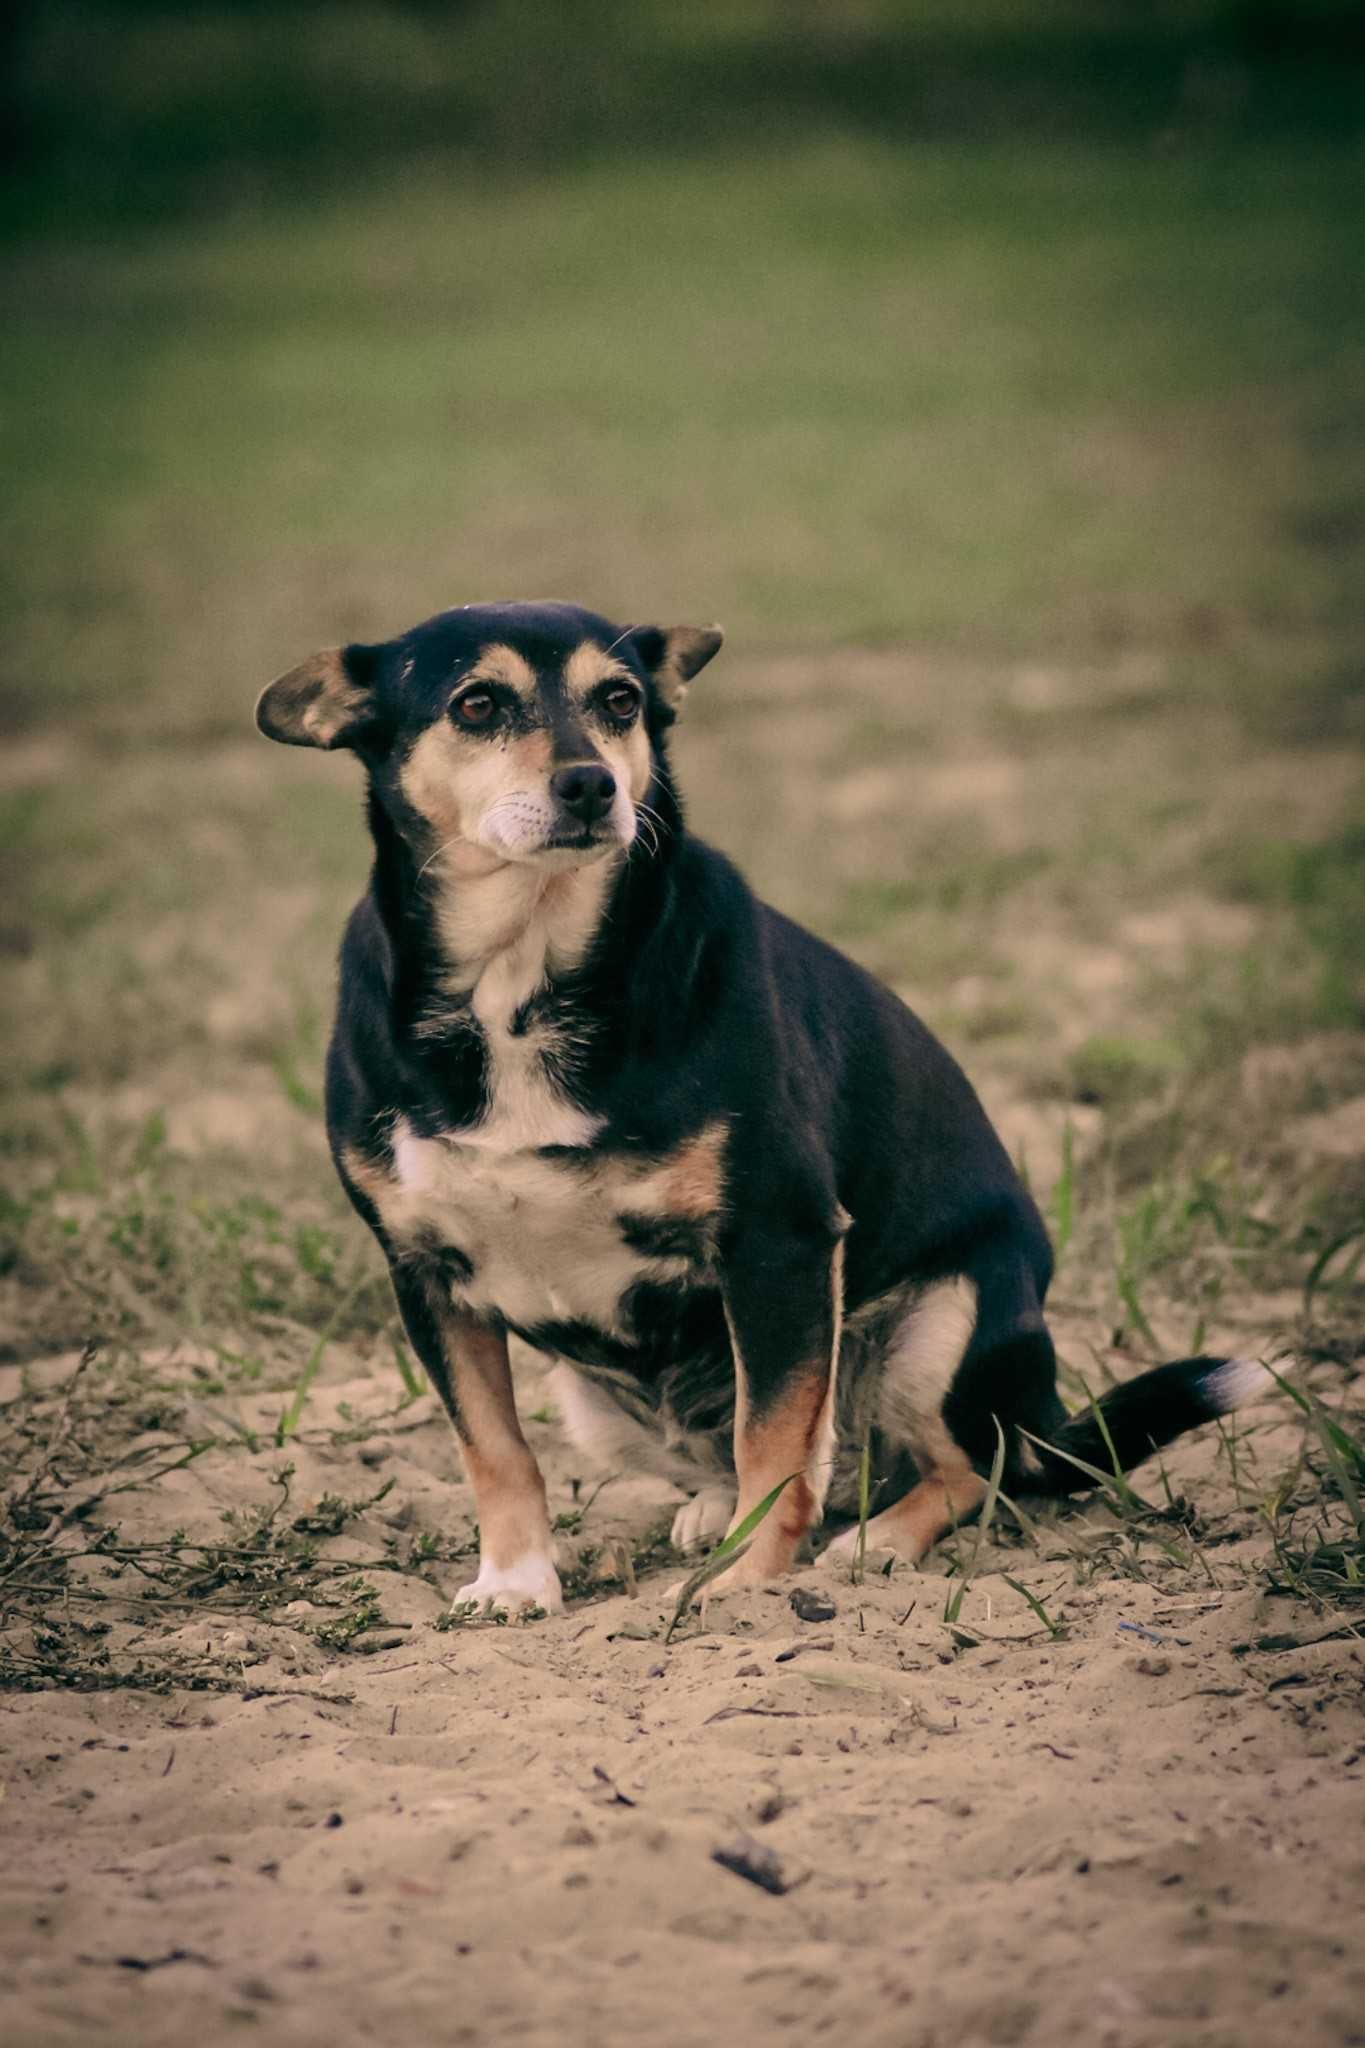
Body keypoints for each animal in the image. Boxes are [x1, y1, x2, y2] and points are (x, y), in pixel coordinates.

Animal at [253, 602, 1268, 1613]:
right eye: (476, 703)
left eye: (618, 701)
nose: (590, 785)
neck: (522, 977)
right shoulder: (425, 1273)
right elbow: (494, 1450)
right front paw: (513, 1583)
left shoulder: (778, 1241)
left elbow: (773, 1440)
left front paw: (744, 1582)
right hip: (597, 1404)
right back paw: (719, 1512)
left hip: (945, 1325)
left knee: (970, 1470)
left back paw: (872, 1542)